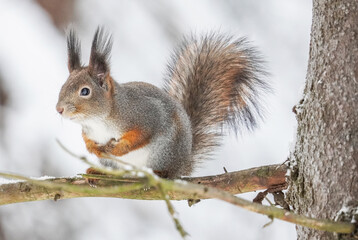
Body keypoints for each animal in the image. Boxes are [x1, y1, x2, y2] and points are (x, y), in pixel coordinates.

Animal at [56, 27, 268, 178]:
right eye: (63, 85)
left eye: (85, 91)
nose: (59, 109)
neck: (99, 120)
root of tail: (184, 165)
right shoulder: (89, 132)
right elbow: (88, 142)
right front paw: (94, 149)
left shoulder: (146, 114)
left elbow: (141, 135)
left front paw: (118, 148)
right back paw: (99, 172)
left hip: (165, 151)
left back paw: (159, 173)